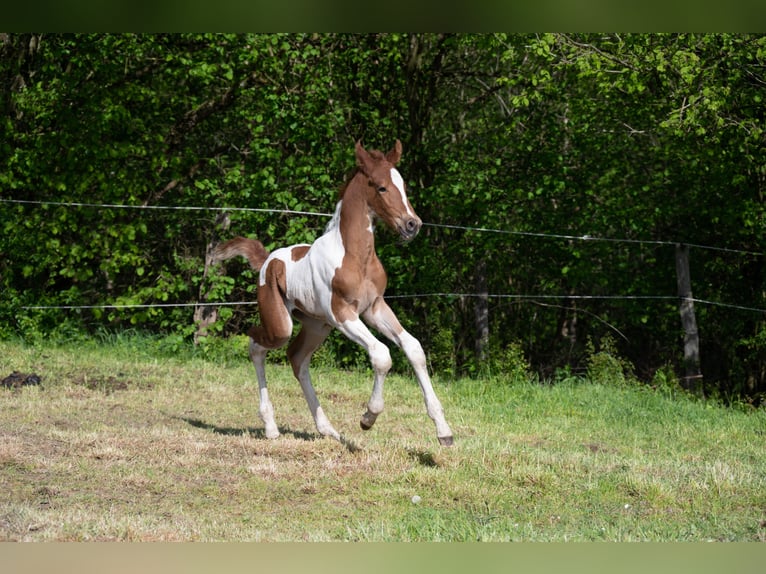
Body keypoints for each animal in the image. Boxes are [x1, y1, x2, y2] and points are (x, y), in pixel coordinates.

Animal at [214, 141, 456, 450]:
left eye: (403, 186)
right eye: (381, 188)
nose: (412, 224)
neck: (354, 256)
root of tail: (268, 259)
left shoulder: (374, 308)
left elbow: (413, 349)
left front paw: (443, 431)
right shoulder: (343, 313)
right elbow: (382, 355)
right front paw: (368, 417)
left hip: (317, 326)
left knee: (297, 359)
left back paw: (327, 429)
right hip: (282, 324)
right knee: (256, 345)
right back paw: (270, 427)